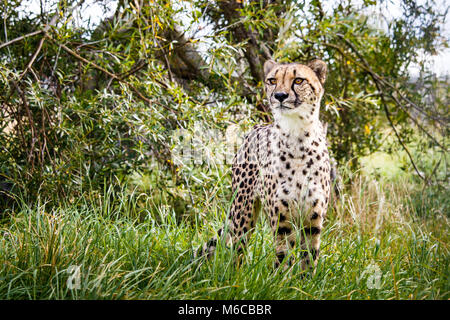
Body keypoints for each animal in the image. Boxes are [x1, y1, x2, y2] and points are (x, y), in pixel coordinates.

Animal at [200, 58, 330, 272]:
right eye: (272, 80)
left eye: (299, 80)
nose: (280, 96)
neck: (297, 136)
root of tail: (255, 128)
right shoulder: (282, 221)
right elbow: (283, 257)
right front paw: (282, 279)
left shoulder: (313, 220)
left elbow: (309, 259)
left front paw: (306, 280)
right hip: (242, 211)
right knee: (237, 249)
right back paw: (235, 276)